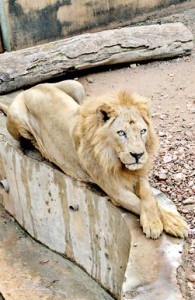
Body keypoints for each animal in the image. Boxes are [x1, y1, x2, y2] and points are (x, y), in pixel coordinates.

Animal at [0, 79, 189, 239]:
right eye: (121, 133)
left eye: (142, 131)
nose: (138, 155)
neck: (116, 159)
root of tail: (27, 90)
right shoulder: (115, 191)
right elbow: (138, 202)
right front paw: (159, 224)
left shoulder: (139, 174)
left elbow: (149, 196)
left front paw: (171, 220)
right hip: (18, 118)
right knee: (26, 139)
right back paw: (41, 147)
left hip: (76, 85)